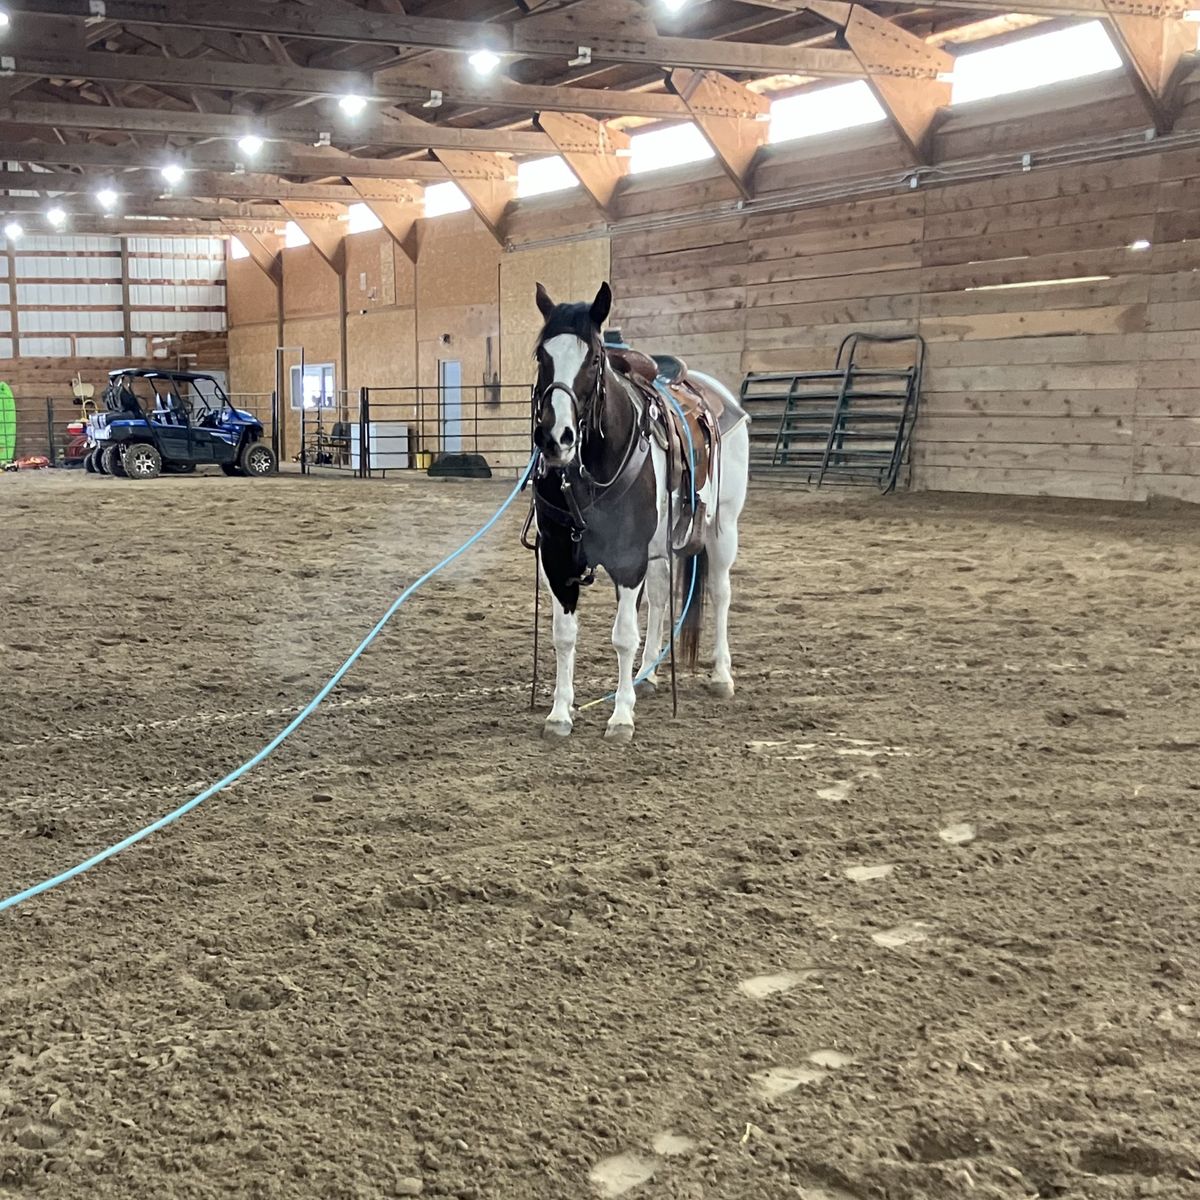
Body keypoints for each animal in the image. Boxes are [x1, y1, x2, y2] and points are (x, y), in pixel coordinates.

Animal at [529, 280, 750, 743]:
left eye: (594, 359)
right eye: (542, 356)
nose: (556, 437)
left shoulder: (628, 560)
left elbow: (623, 636)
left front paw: (620, 716)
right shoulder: (557, 560)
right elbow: (564, 635)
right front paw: (559, 714)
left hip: (724, 529)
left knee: (721, 592)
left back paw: (721, 675)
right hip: (661, 546)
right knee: (662, 596)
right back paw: (647, 674)